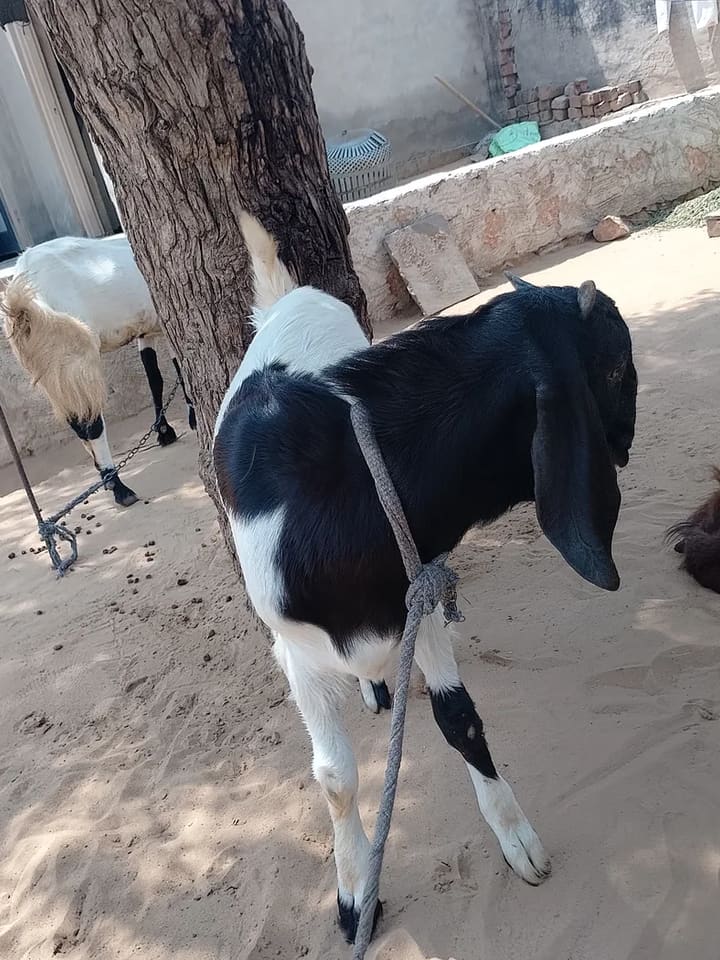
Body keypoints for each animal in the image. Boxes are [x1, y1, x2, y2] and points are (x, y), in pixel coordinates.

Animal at [1, 235, 195, 506]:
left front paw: (165, 431)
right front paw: (192, 420)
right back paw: (120, 488)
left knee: (77, 422)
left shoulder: (145, 331)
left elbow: (154, 377)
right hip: (75, 363)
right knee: (91, 422)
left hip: (53, 373)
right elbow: (179, 369)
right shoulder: (165, 323)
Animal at [213, 214, 638, 945]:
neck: (346, 492)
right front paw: (356, 892)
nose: (628, 441)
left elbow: (458, 717)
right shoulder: (296, 653)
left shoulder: (420, 597)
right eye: (612, 367)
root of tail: (285, 301)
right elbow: (335, 778)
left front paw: (516, 837)